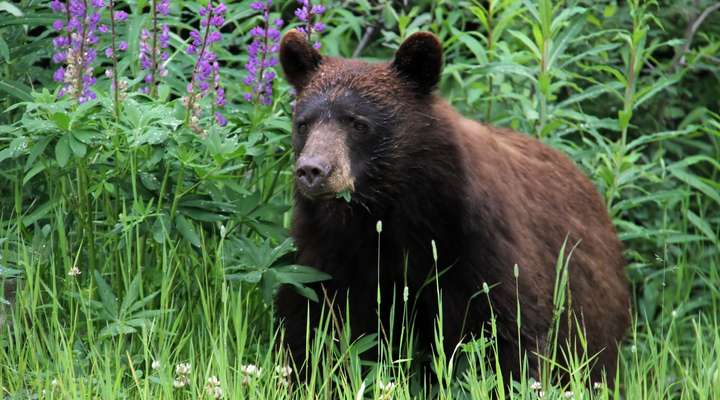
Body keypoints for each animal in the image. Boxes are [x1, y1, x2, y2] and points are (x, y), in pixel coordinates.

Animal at [276, 28, 632, 384]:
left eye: (359, 123)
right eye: (304, 123)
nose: (313, 170)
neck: (388, 210)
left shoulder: (477, 241)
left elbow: (510, 328)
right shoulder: (328, 248)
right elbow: (310, 320)